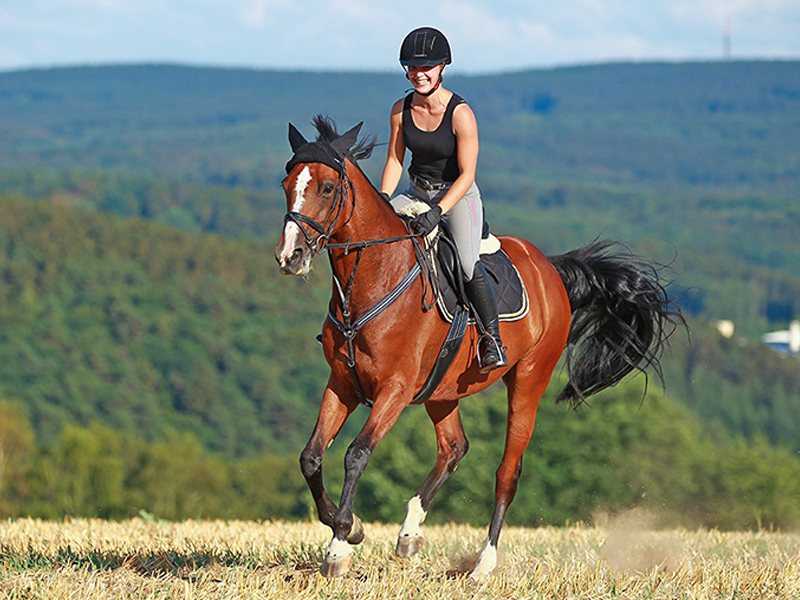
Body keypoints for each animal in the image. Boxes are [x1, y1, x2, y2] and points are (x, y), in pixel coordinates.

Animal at [275, 116, 681, 579]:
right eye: (286, 182)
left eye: (327, 188)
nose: (290, 256)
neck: (373, 278)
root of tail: (551, 269)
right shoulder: (342, 382)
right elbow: (311, 457)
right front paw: (350, 527)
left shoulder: (395, 389)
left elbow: (356, 453)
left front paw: (341, 543)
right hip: (442, 388)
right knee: (454, 447)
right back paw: (410, 533)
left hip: (527, 381)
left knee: (508, 470)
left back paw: (483, 562)